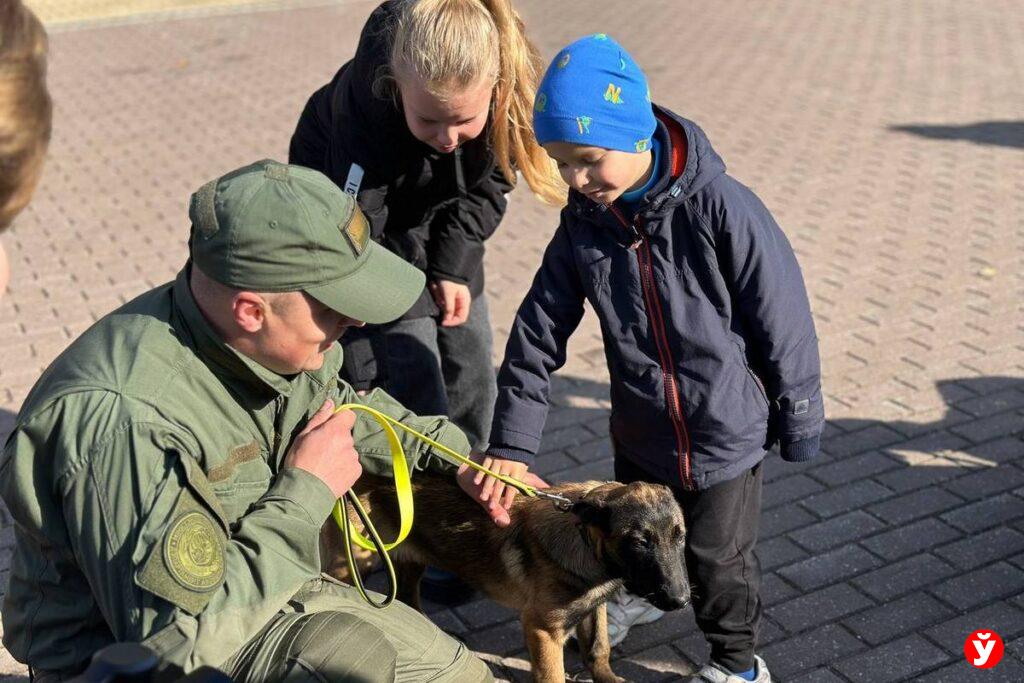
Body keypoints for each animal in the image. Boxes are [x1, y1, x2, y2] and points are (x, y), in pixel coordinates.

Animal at [321, 473, 688, 683]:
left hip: (410, 557)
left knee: (409, 595)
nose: (681, 600)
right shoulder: (541, 628)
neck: (583, 539)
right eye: (639, 542)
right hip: (352, 563)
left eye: (680, 536)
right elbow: (553, 676)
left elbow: (598, 649)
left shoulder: (593, 605)